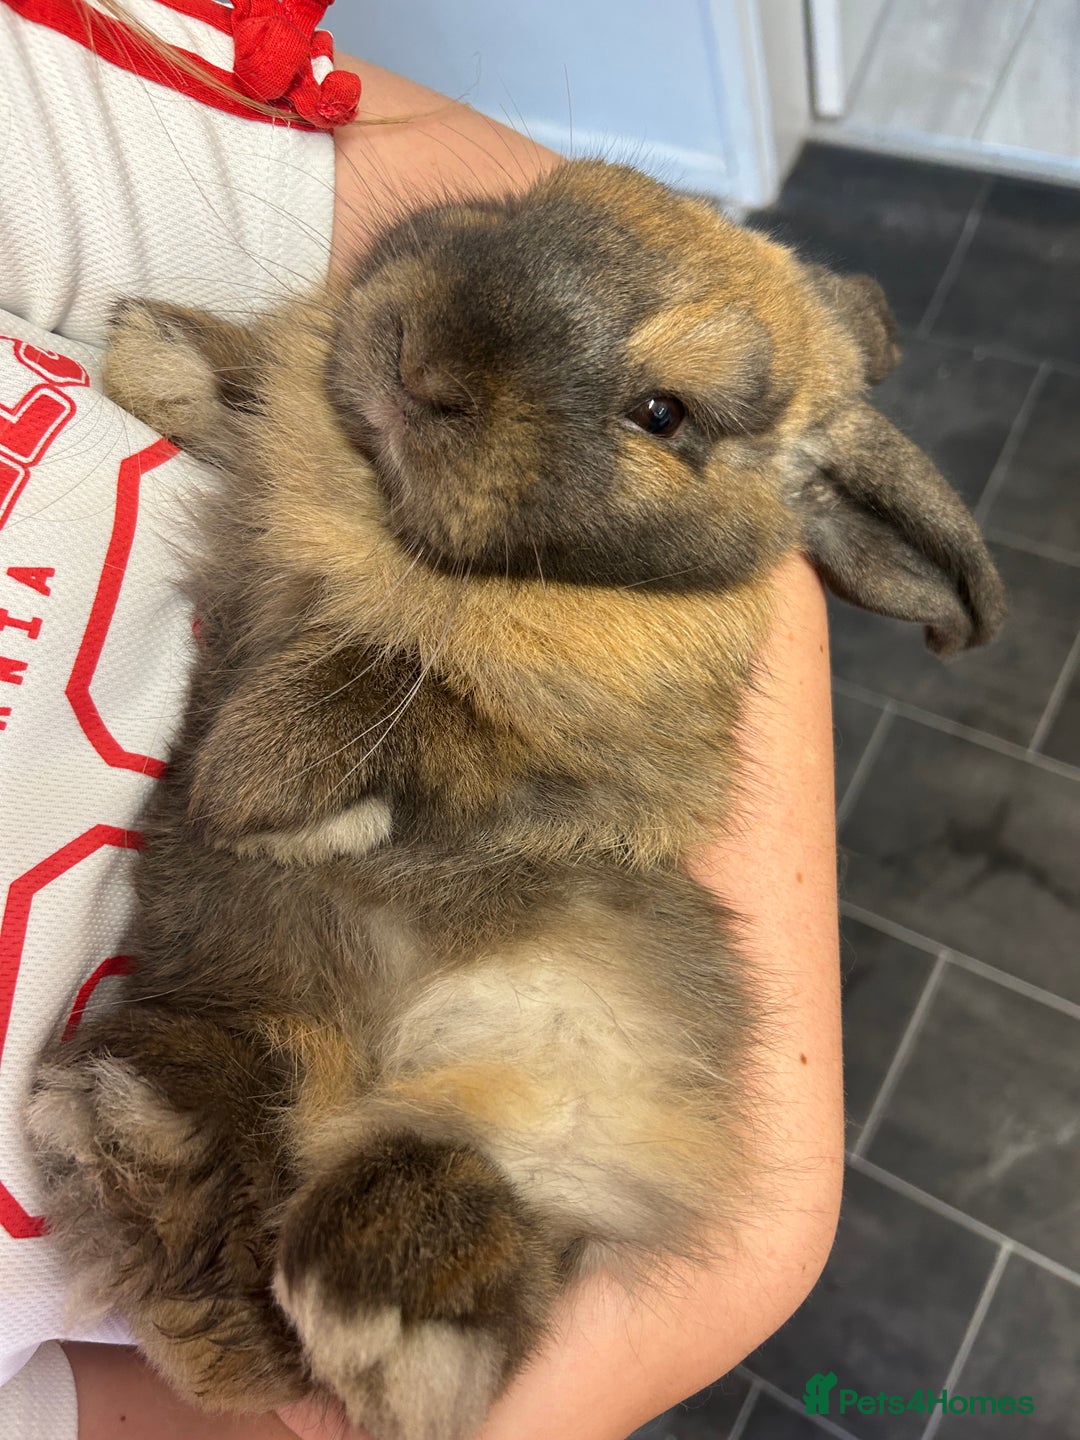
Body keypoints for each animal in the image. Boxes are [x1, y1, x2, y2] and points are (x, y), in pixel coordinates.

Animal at [27, 159, 1004, 1440]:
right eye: (525, 201)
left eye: (663, 414)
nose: (422, 366)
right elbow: (253, 390)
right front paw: (151, 351)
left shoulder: (582, 750)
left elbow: (405, 690)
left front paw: (255, 783)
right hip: (249, 1021)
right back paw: (133, 1123)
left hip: (561, 1098)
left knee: (481, 1226)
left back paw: (379, 1312)